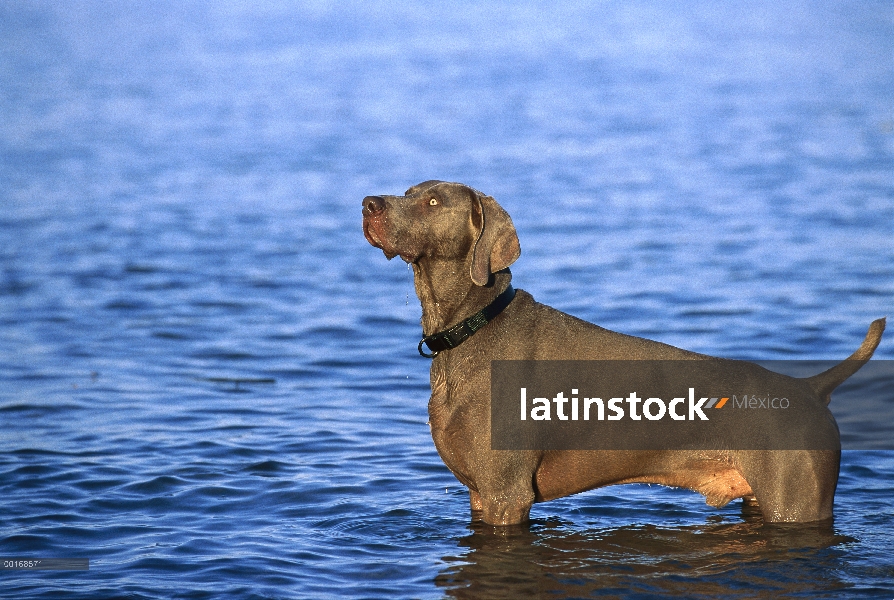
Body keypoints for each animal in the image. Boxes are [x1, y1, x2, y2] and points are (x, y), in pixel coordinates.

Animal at [360, 182, 884, 524]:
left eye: (432, 201)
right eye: (408, 190)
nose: (368, 204)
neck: (472, 327)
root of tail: (809, 386)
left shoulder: (505, 494)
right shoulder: (479, 492)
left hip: (796, 502)